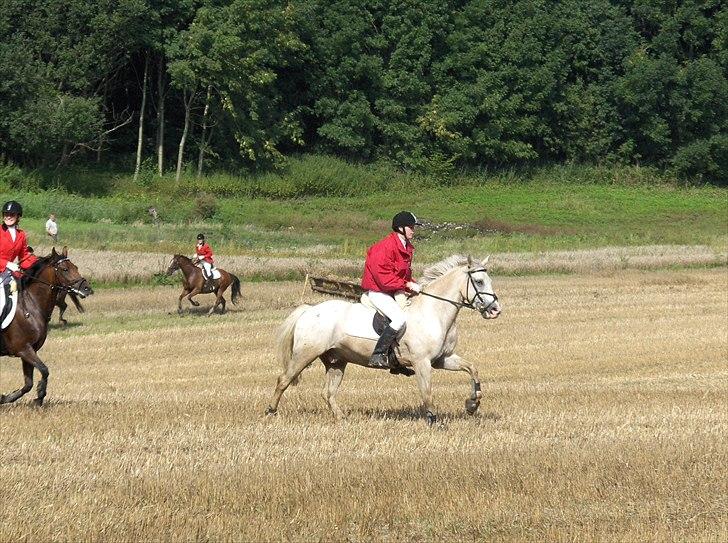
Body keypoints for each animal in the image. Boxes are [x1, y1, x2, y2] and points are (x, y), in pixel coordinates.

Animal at [0, 249, 92, 406]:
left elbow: (28, 384)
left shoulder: (30, 350)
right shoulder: (23, 349)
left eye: (76, 267)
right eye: (65, 269)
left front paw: (6, 398)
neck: (30, 306)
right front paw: (40, 395)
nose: (87, 289)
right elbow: (44, 370)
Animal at [268, 255, 500, 424]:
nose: (495, 310)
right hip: (305, 355)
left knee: (328, 393)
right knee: (283, 380)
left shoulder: (443, 359)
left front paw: (472, 404)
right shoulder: (422, 362)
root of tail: (309, 310)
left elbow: (472, 368)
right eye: (479, 282)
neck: (434, 311)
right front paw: (433, 420)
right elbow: (427, 392)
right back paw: (271, 412)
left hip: (336, 361)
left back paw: (342, 418)